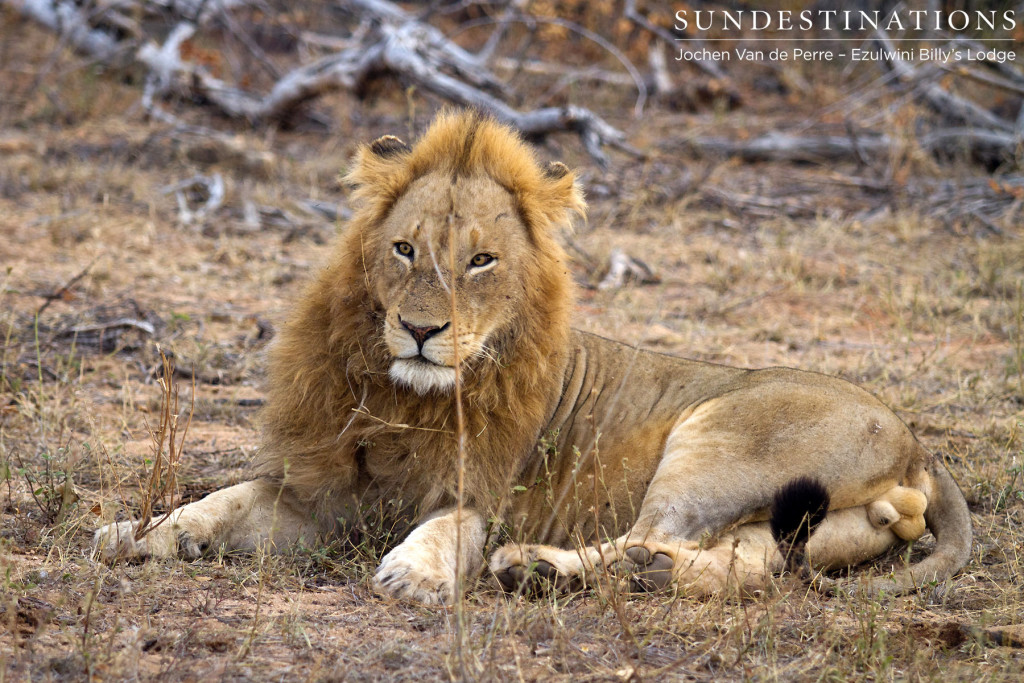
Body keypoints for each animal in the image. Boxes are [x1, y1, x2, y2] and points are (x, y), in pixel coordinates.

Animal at [97, 108, 974, 602]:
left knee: (658, 532)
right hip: (800, 523)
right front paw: (138, 533)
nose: (421, 330)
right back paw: (593, 577)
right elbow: (222, 499)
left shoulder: (480, 487)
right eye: (405, 248)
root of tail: (920, 444)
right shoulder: (319, 492)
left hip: (717, 439)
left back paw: (536, 567)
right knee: (737, 562)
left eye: (481, 261)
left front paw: (417, 572)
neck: (404, 394)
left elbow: (453, 526)